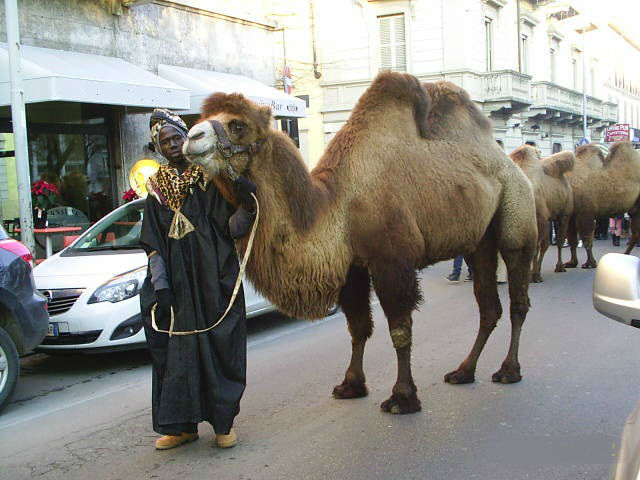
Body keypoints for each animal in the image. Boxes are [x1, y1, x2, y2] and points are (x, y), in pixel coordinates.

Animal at [182, 72, 536, 416]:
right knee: (488, 306)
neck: (338, 205)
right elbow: (357, 327)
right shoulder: (351, 268)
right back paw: (464, 371)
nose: (191, 137)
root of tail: (508, 160)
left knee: (518, 297)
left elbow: (400, 330)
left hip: (516, 214)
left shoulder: (391, 262)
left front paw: (402, 398)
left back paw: (509, 370)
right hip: (479, 241)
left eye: (237, 125)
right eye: (202, 118)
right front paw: (351, 385)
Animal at [510, 144, 576, 284]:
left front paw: (532, 276)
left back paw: (558, 267)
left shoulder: (540, 218)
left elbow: (535, 247)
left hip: (563, 214)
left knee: (558, 241)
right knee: (546, 244)